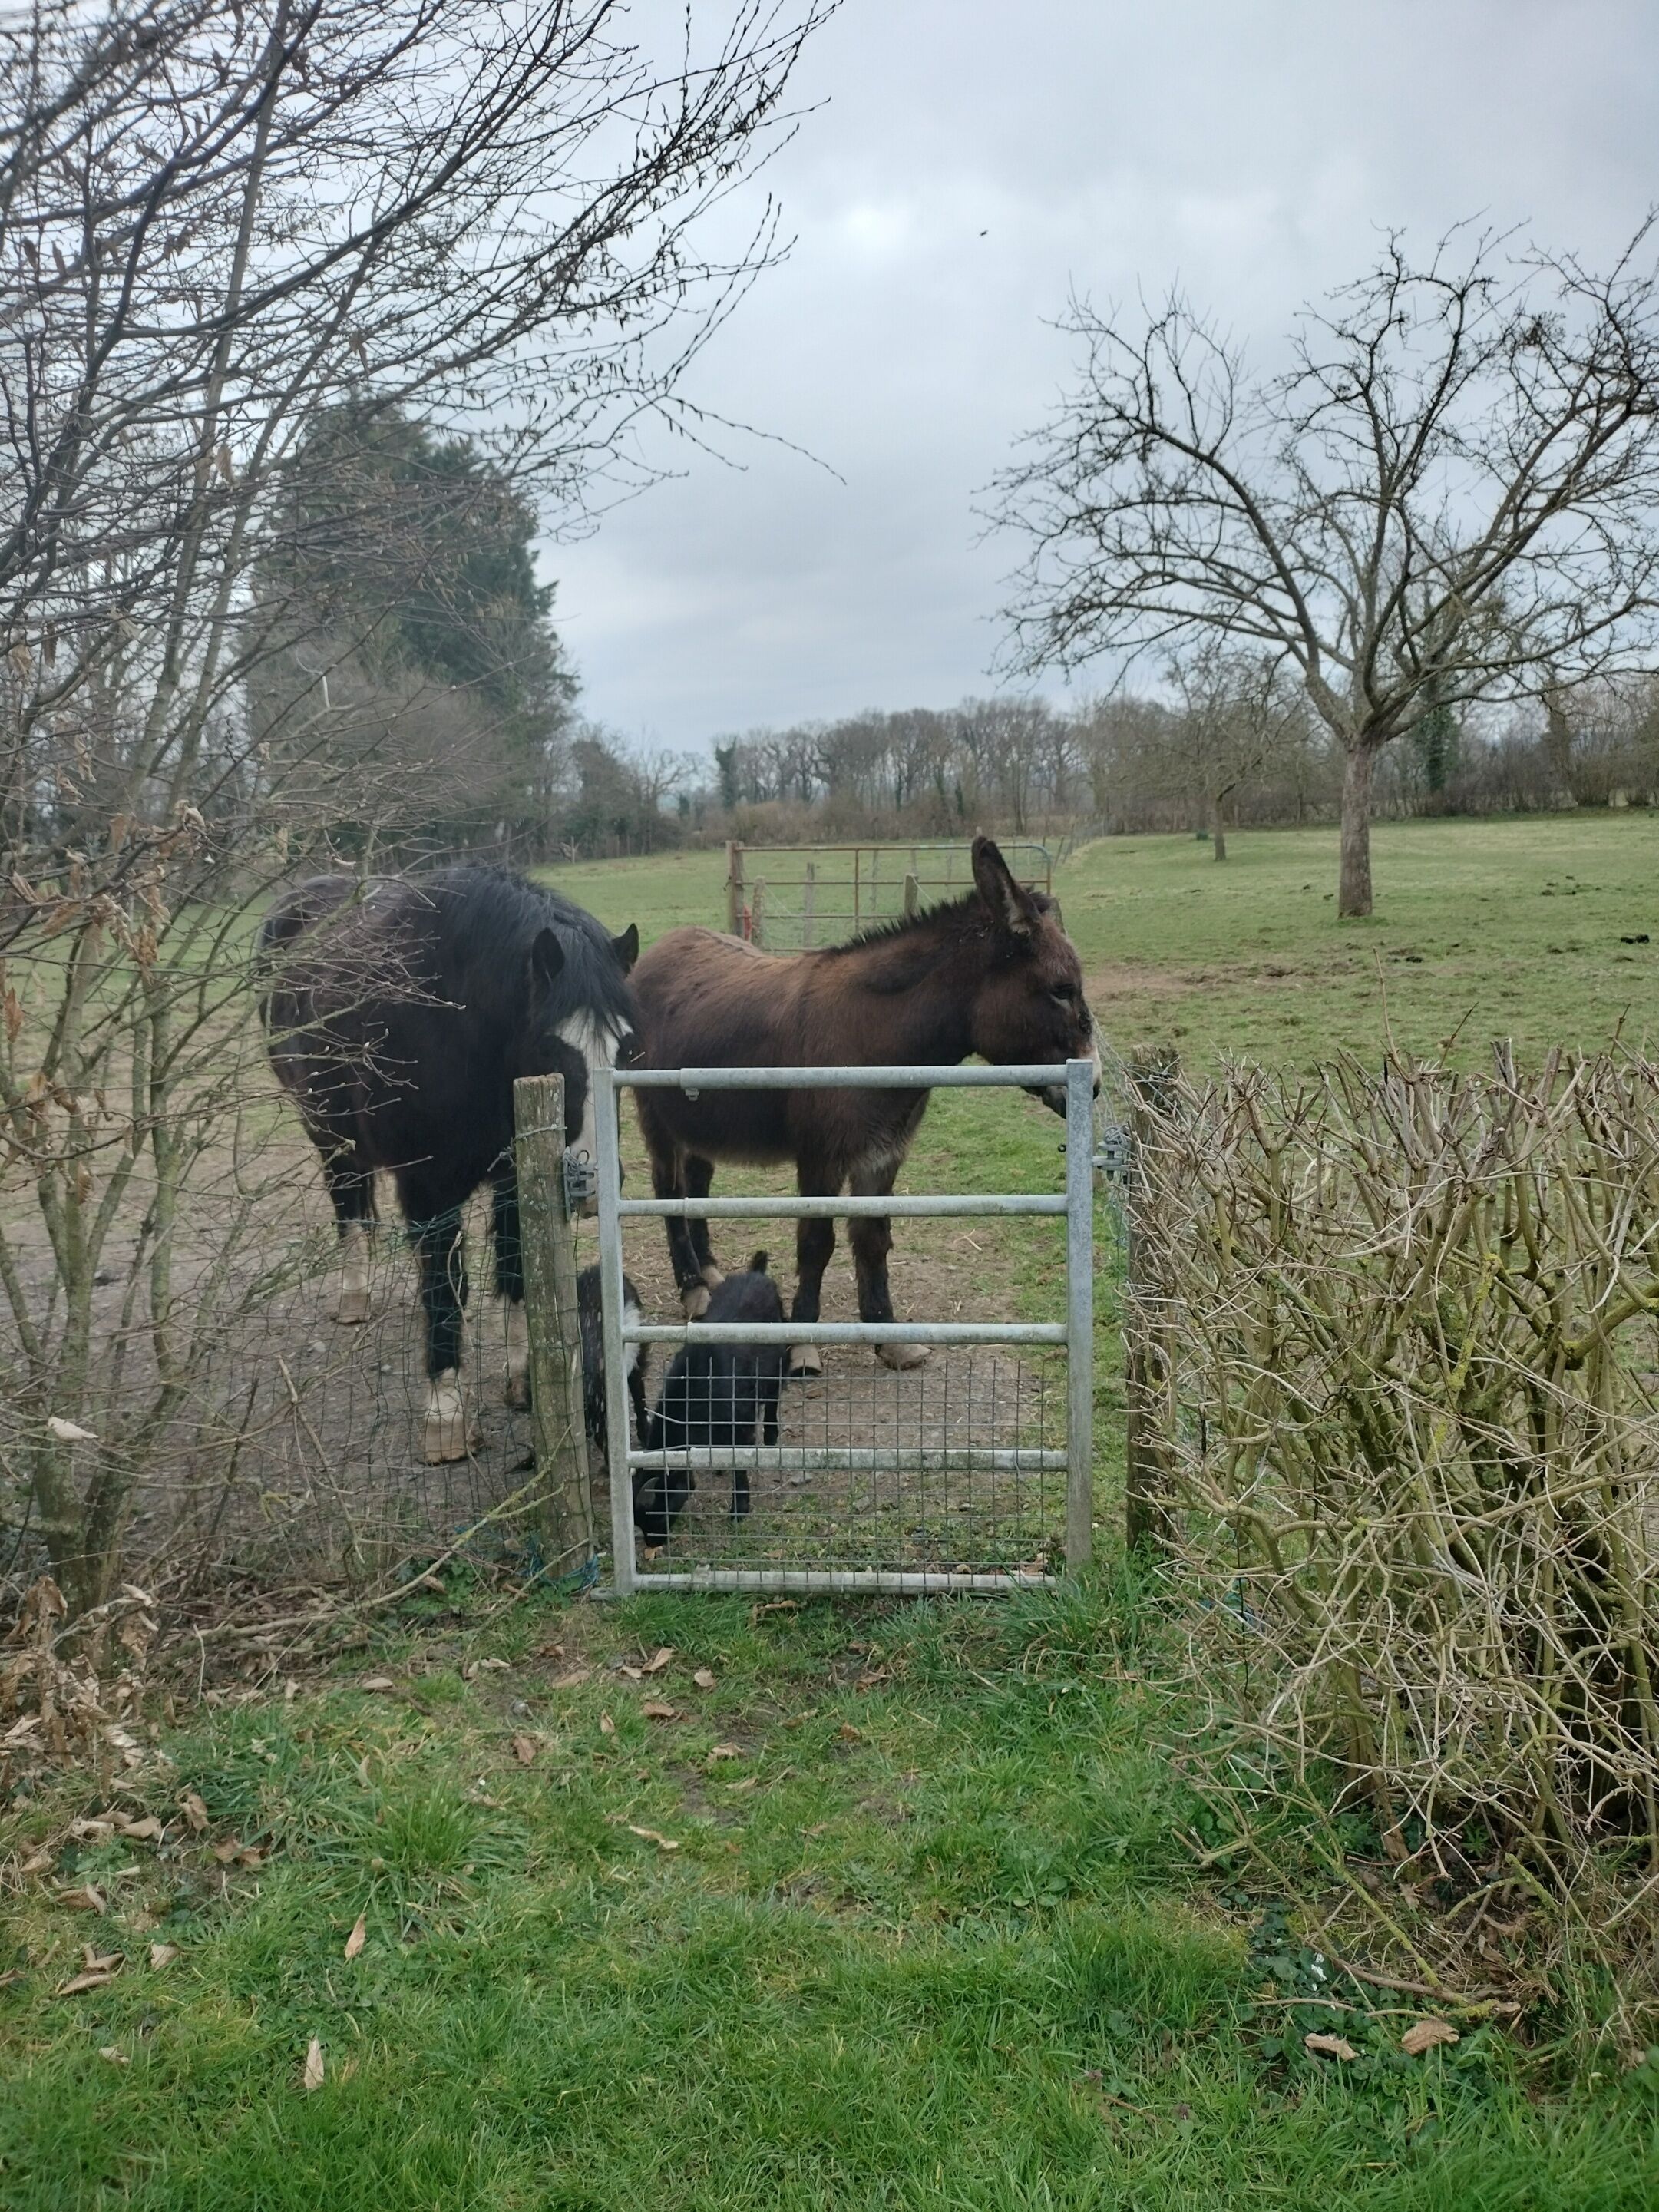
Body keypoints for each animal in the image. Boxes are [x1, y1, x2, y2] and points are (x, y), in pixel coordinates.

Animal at [259, 865, 640, 1463]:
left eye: (627, 1049)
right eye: (550, 1049)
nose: (593, 1183)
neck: (456, 1027)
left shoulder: (515, 1178)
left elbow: (515, 1271)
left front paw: (522, 1379)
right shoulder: (429, 1194)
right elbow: (444, 1294)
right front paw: (446, 1418)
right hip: (328, 1134)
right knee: (347, 1207)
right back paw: (354, 1296)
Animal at [630, 835, 1098, 1371]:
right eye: (1062, 991)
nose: (1095, 1083)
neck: (874, 1032)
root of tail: (663, 946)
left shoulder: (884, 1153)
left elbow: (874, 1239)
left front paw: (887, 1334)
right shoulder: (821, 1156)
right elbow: (816, 1243)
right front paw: (801, 1345)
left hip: (702, 1120)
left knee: (697, 1185)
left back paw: (709, 1272)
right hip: (656, 1116)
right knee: (669, 1191)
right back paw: (692, 1288)